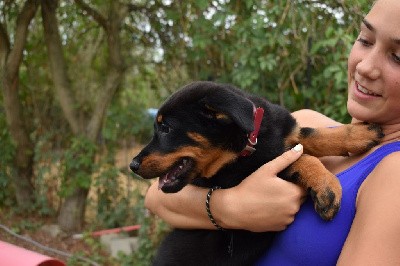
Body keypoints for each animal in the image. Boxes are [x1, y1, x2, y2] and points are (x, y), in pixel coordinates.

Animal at [130, 81, 382, 266]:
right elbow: (299, 158)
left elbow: (314, 134)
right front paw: (327, 188)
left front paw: (361, 133)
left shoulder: (288, 136)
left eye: (166, 128)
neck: (250, 141)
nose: (132, 165)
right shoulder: (251, 171)